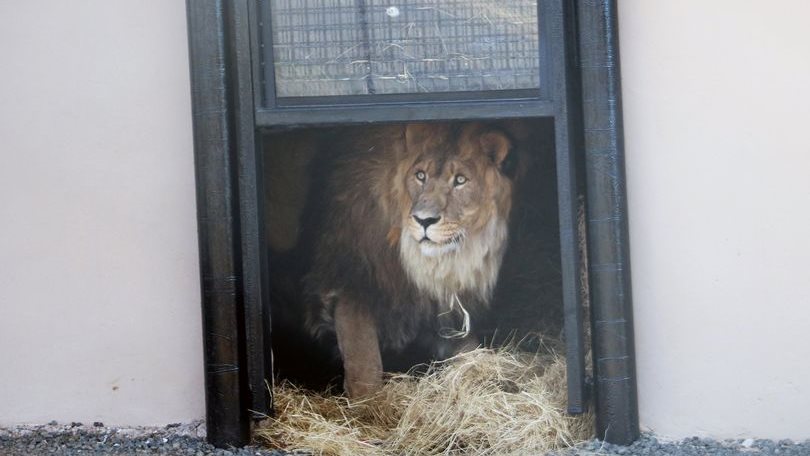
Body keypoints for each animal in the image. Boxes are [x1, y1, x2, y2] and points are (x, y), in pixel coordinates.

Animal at [304, 121, 516, 396]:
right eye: (420, 175)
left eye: (460, 180)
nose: (424, 220)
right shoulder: (349, 280)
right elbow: (363, 359)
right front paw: (368, 403)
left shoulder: (441, 311)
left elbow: (471, 351)